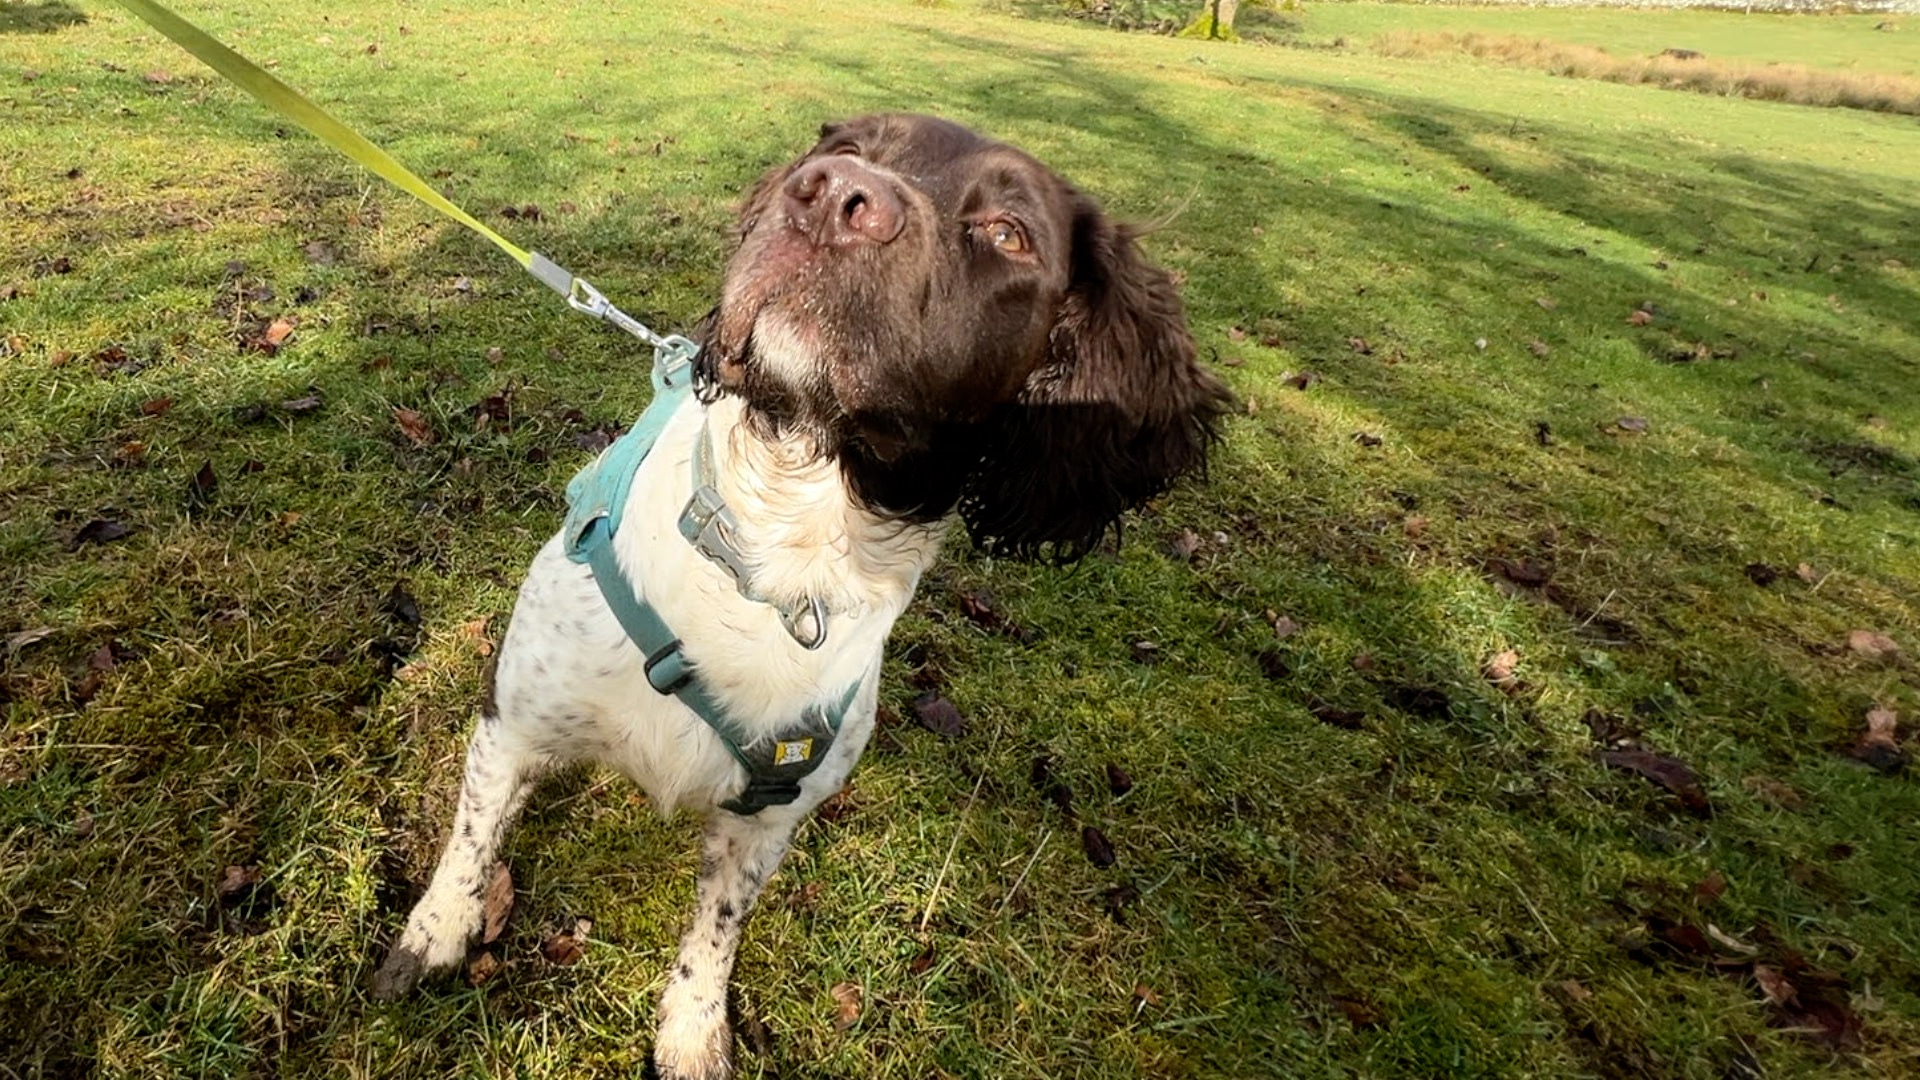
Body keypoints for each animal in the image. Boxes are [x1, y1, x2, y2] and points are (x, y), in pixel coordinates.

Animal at [370, 113, 1228, 1068]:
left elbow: (717, 927)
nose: (829, 197)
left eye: (1009, 233)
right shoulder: (513, 722)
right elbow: (472, 837)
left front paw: (693, 1028)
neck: (779, 547)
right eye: (850, 147)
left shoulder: (769, 819)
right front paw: (436, 932)